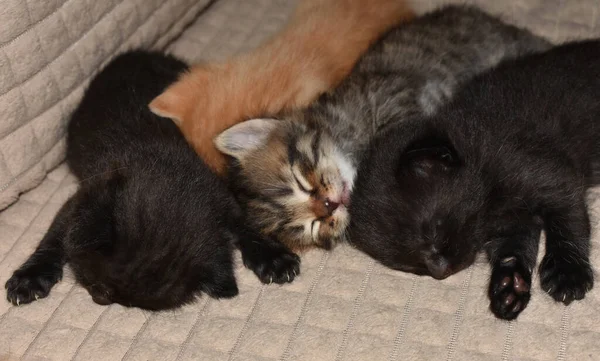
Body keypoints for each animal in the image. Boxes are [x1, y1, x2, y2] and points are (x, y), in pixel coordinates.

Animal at [2, 50, 298, 310]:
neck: (168, 175)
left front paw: (272, 256)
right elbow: (55, 235)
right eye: (95, 285)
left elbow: (243, 221)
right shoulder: (86, 194)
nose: (99, 299)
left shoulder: (217, 191)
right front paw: (30, 276)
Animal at [350, 39, 596, 320]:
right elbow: (512, 249)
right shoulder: (516, 222)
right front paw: (509, 287)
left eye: (434, 230)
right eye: (409, 264)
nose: (439, 271)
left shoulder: (552, 175)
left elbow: (568, 220)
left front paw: (568, 273)